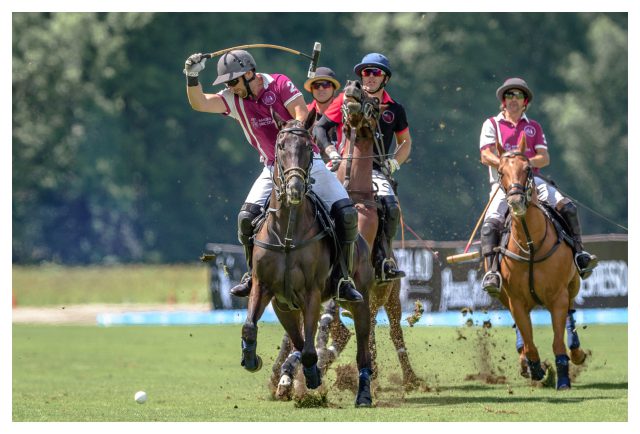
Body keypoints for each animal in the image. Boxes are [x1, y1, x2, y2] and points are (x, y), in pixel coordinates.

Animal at [242, 112, 378, 406]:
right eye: (281, 146)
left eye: (307, 148)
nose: (294, 189)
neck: (287, 233)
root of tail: (362, 241)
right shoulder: (266, 288)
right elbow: (251, 327)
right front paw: (251, 359)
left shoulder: (311, 292)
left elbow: (307, 349)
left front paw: (313, 377)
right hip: (287, 306)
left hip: (359, 299)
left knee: (363, 347)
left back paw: (363, 393)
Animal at [314, 79, 420, 388]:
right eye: (344, 96)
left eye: (374, 105)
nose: (354, 86)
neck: (354, 193)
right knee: (367, 328)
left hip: (389, 295)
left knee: (392, 331)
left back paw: (408, 377)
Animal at [492, 134, 588, 388]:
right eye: (500, 171)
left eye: (527, 169)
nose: (515, 201)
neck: (531, 246)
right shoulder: (515, 300)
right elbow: (529, 342)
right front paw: (535, 368)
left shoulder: (557, 296)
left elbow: (557, 341)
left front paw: (562, 378)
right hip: (503, 296)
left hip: (573, 284)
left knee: (571, 315)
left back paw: (577, 352)